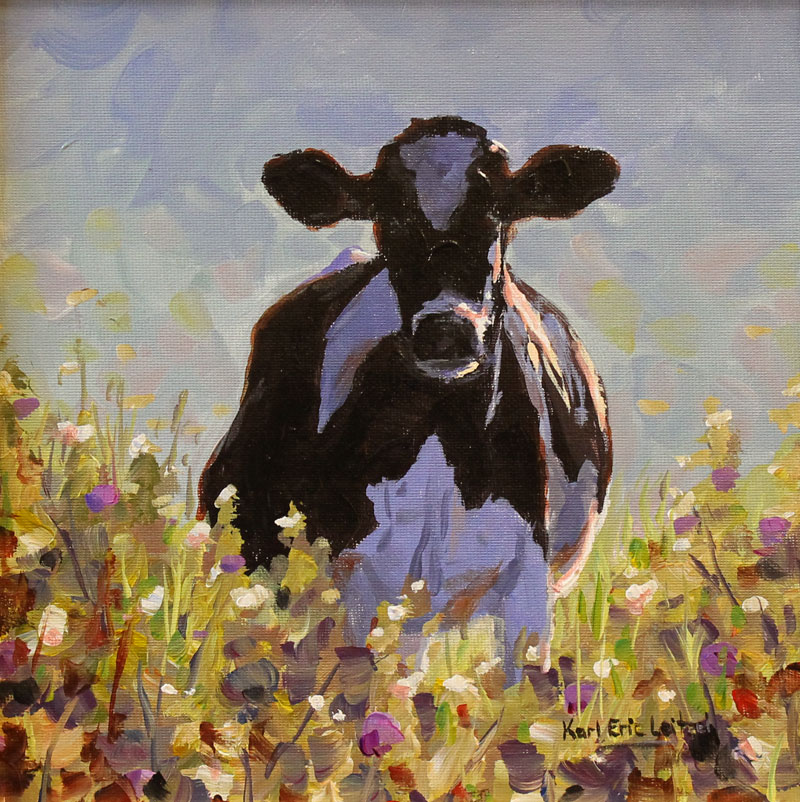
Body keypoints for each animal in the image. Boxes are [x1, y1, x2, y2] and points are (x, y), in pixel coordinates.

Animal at [199, 116, 618, 667]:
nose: (446, 330)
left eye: (498, 212)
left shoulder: (529, 585)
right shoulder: (359, 579)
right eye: (390, 216)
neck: (444, 430)